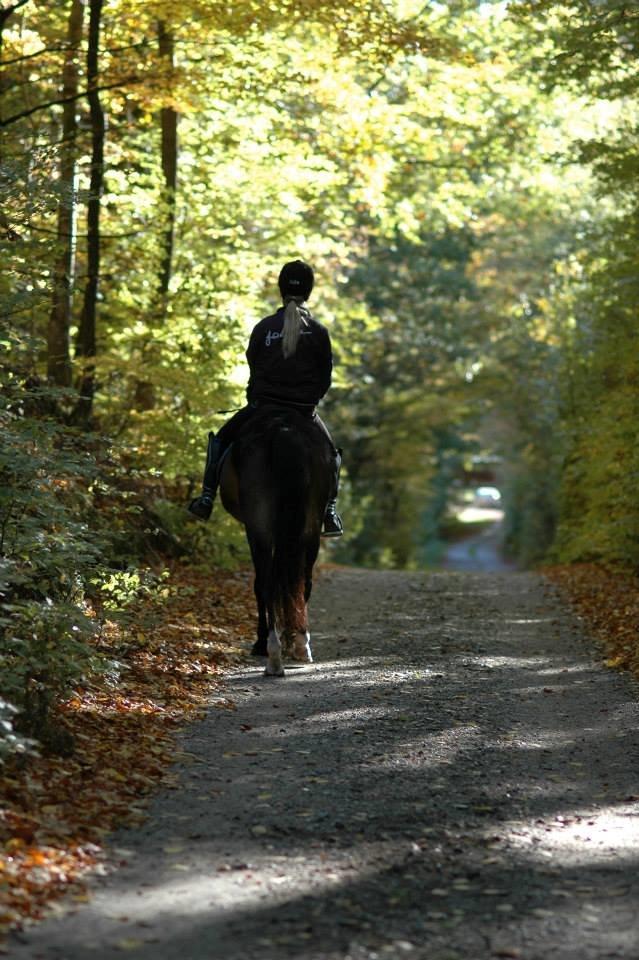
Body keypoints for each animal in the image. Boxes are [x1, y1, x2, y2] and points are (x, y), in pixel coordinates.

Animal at [219, 408, 332, 680]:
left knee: (267, 581)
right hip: (308, 527)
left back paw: (273, 651)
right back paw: (293, 646)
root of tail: (283, 431)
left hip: (260, 525)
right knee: (299, 580)